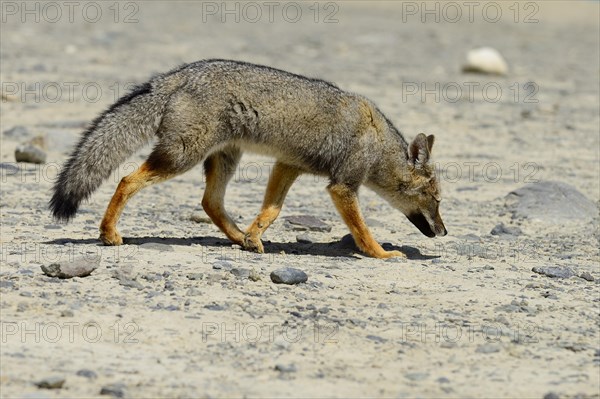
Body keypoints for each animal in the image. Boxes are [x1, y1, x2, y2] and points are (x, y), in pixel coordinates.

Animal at [50, 59, 446, 260]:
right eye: (436, 199)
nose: (444, 232)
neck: (376, 139)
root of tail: (176, 74)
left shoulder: (287, 165)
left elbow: (272, 210)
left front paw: (254, 236)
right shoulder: (342, 186)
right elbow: (362, 229)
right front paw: (381, 254)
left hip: (225, 158)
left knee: (210, 202)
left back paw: (240, 238)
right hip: (182, 157)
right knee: (126, 179)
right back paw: (108, 234)